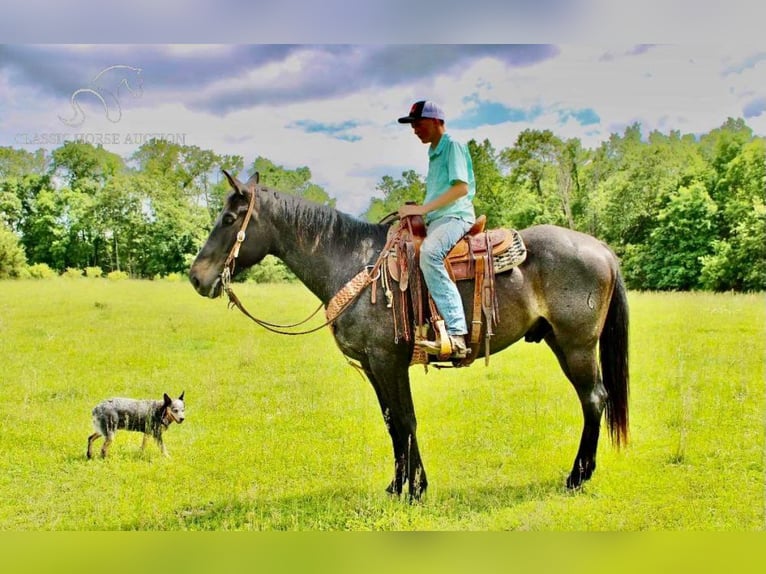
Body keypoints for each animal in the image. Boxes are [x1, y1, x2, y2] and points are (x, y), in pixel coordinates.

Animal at [188, 170, 632, 500]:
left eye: (229, 220)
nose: (196, 277)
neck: (354, 264)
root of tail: (602, 250)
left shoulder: (389, 360)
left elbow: (406, 418)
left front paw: (416, 488)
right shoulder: (373, 366)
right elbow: (392, 423)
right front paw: (397, 485)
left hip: (577, 345)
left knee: (594, 399)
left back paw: (577, 476)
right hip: (560, 341)